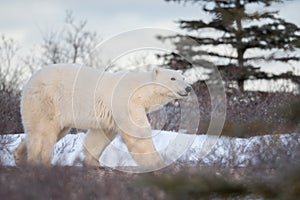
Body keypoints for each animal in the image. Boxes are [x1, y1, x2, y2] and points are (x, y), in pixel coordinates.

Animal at [14, 64, 191, 169]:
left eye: (183, 77)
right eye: (172, 78)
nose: (188, 88)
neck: (140, 91)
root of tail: (30, 81)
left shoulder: (109, 116)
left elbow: (99, 137)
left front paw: (93, 164)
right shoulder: (126, 103)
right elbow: (138, 134)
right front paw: (158, 164)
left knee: (52, 131)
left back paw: (19, 156)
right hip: (46, 101)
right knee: (44, 131)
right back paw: (40, 162)